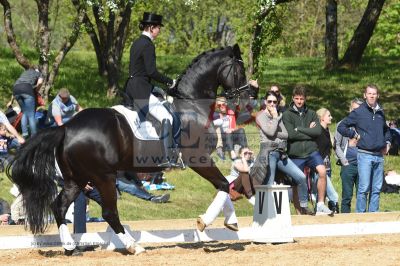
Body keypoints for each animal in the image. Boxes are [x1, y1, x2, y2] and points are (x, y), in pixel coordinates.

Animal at [7, 44, 253, 255]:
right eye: (240, 70)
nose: (246, 98)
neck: (192, 104)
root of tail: (66, 127)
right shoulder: (198, 158)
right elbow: (223, 184)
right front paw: (205, 223)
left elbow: (224, 186)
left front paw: (231, 222)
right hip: (103, 177)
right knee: (109, 212)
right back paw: (134, 246)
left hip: (76, 179)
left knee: (59, 206)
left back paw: (71, 248)